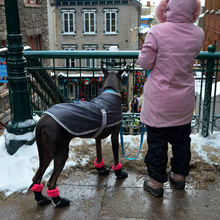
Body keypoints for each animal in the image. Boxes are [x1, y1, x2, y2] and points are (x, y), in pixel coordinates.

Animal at [29, 66, 129, 206]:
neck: (110, 91)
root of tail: (42, 121)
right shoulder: (115, 135)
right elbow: (116, 156)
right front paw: (119, 173)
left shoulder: (97, 138)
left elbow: (99, 153)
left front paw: (101, 169)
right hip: (61, 153)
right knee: (51, 182)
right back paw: (59, 201)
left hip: (46, 153)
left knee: (36, 177)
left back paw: (41, 199)